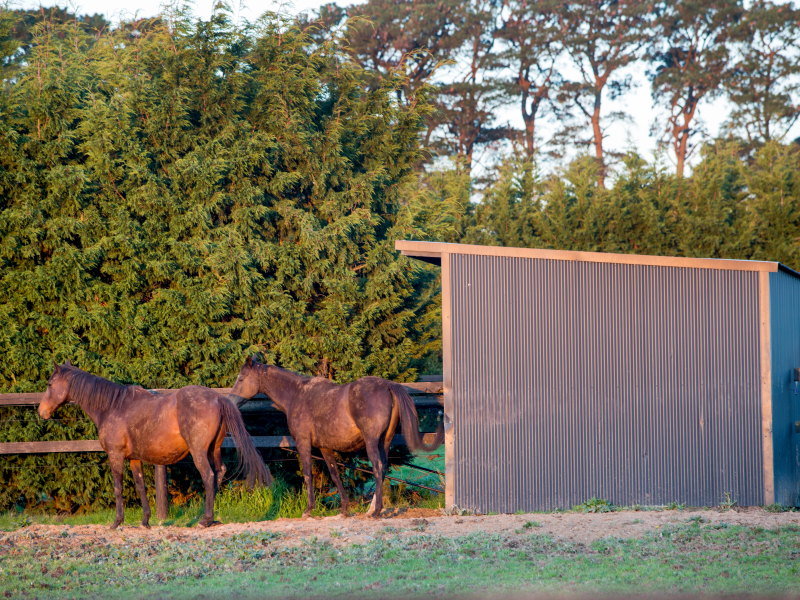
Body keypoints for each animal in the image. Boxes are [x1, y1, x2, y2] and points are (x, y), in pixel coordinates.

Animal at [38, 364, 272, 528]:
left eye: (49, 384)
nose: (41, 412)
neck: (113, 407)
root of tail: (217, 398)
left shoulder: (115, 456)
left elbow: (118, 487)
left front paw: (117, 522)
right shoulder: (134, 459)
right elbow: (140, 486)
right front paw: (145, 521)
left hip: (198, 452)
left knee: (208, 476)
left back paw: (205, 519)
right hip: (213, 449)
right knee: (219, 472)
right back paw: (211, 517)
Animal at [230, 358, 444, 516]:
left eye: (241, 378)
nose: (231, 401)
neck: (297, 395)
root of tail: (388, 386)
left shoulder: (303, 443)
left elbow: (307, 474)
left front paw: (308, 509)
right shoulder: (325, 447)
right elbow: (334, 474)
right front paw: (344, 509)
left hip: (371, 442)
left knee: (377, 467)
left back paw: (376, 512)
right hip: (385, 441)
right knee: (383, 469)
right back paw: (371, 509)